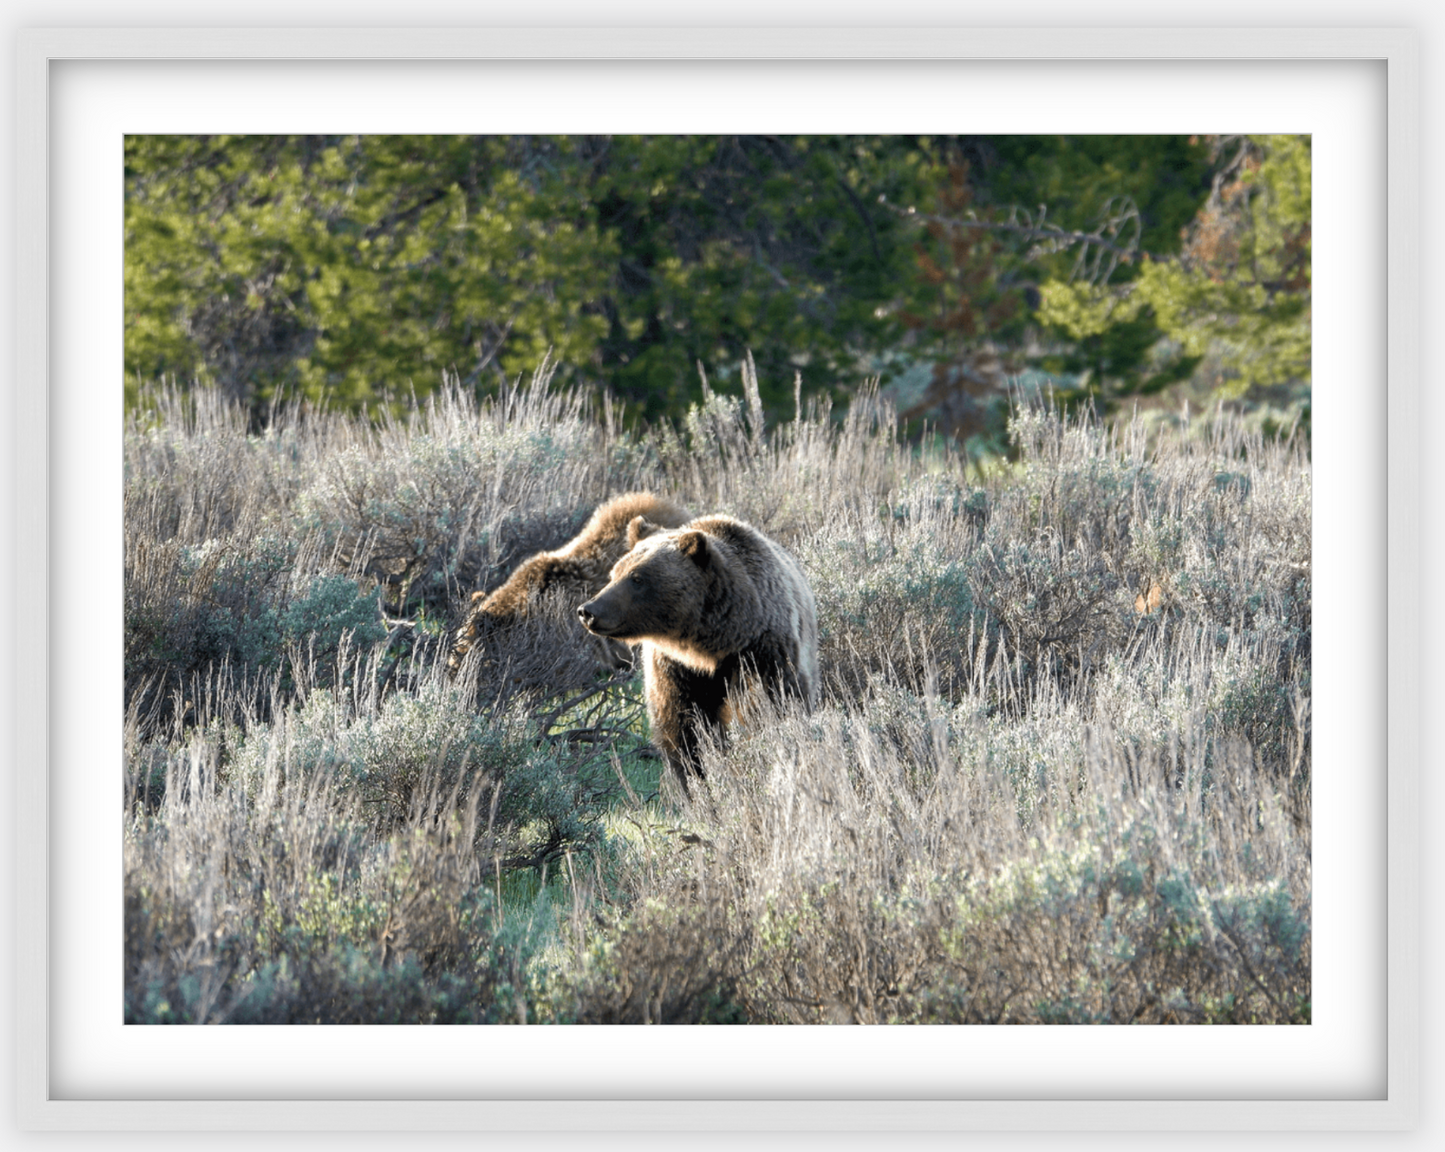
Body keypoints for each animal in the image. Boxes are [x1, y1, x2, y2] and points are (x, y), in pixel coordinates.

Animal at [578, 511, 826, 780]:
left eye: (637, 577)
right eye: (615, 573)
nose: (588, 610)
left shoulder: (761, 651)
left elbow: (770, 703)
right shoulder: (674, 667)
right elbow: (681, 727)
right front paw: (693, 774)